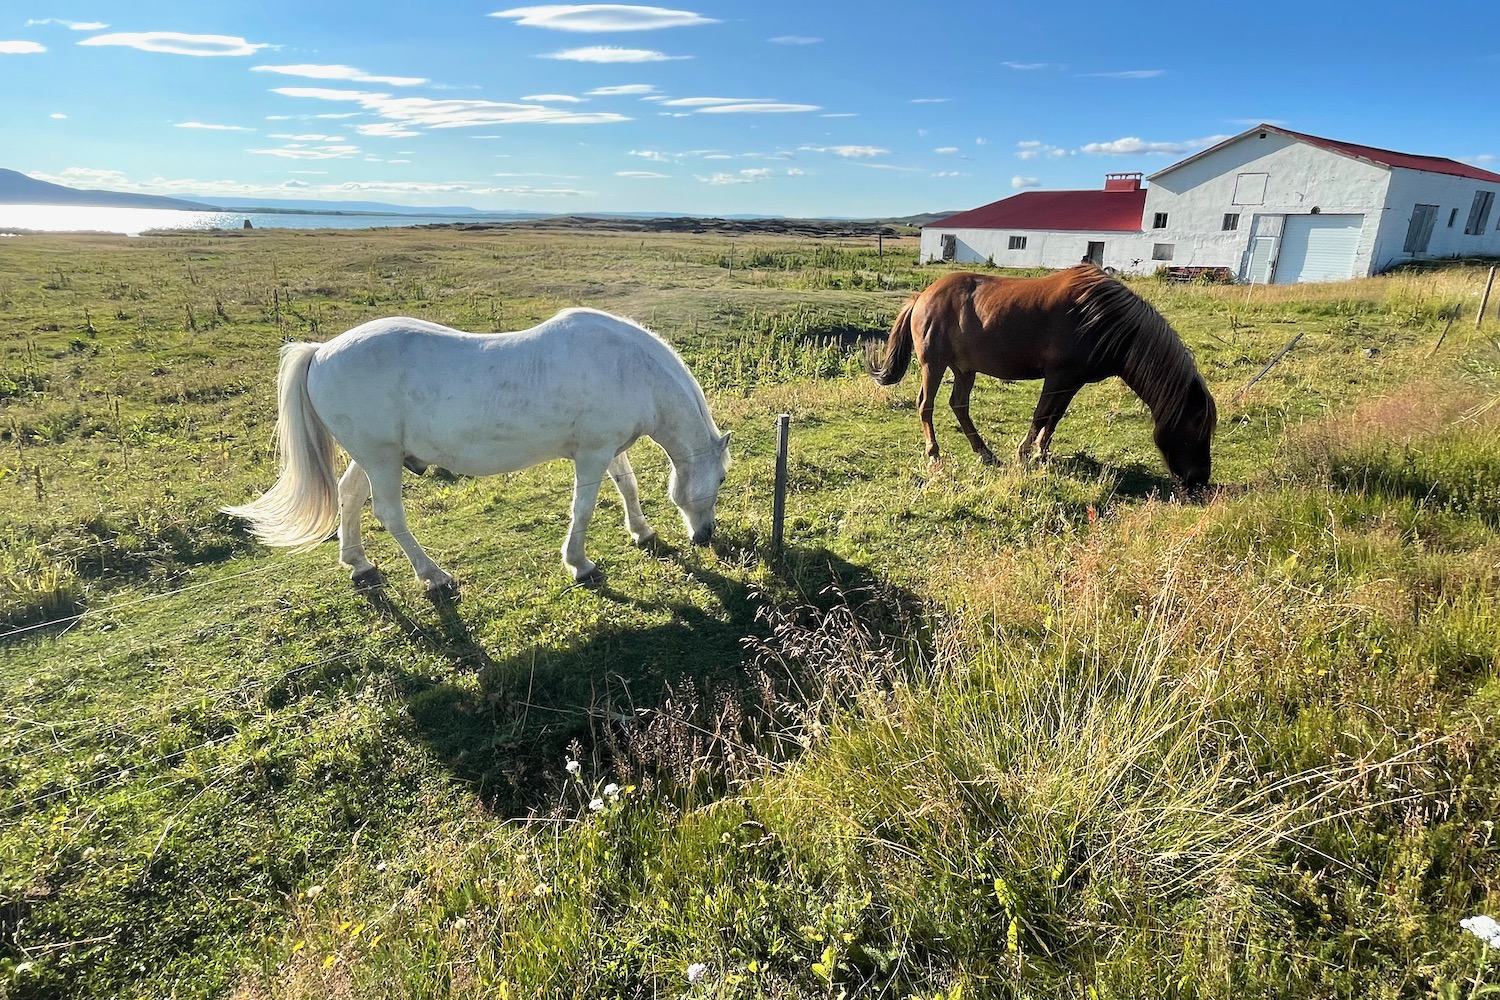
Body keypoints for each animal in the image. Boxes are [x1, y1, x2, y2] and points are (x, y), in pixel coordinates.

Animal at [222, 308, 732, 593]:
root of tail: (323, 350)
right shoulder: (591, 453)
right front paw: (579, 564)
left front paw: (642, 532)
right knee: (389, 513)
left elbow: (627, 484)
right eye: (723, 477)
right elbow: (583, 508)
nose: (705, 536)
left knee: (349, 496)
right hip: (381, 460)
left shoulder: (607, 447)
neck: (629, 367)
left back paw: (359, 563)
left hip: (369, 456)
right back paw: (434, 576)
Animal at [870, 265, 1218, 497]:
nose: (1200, 482)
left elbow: (1054, 417)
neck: (1104, 320)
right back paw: (935, 456)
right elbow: (1041, 415)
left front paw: (1042, 453)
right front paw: (1025, 453)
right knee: (925, 406)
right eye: (1195, 433)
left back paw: (985, 453)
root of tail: (922, 296)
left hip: (964, 369)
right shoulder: (1058, 376)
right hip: (934, 364)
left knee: (959, 405)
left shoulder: (1072, 381)